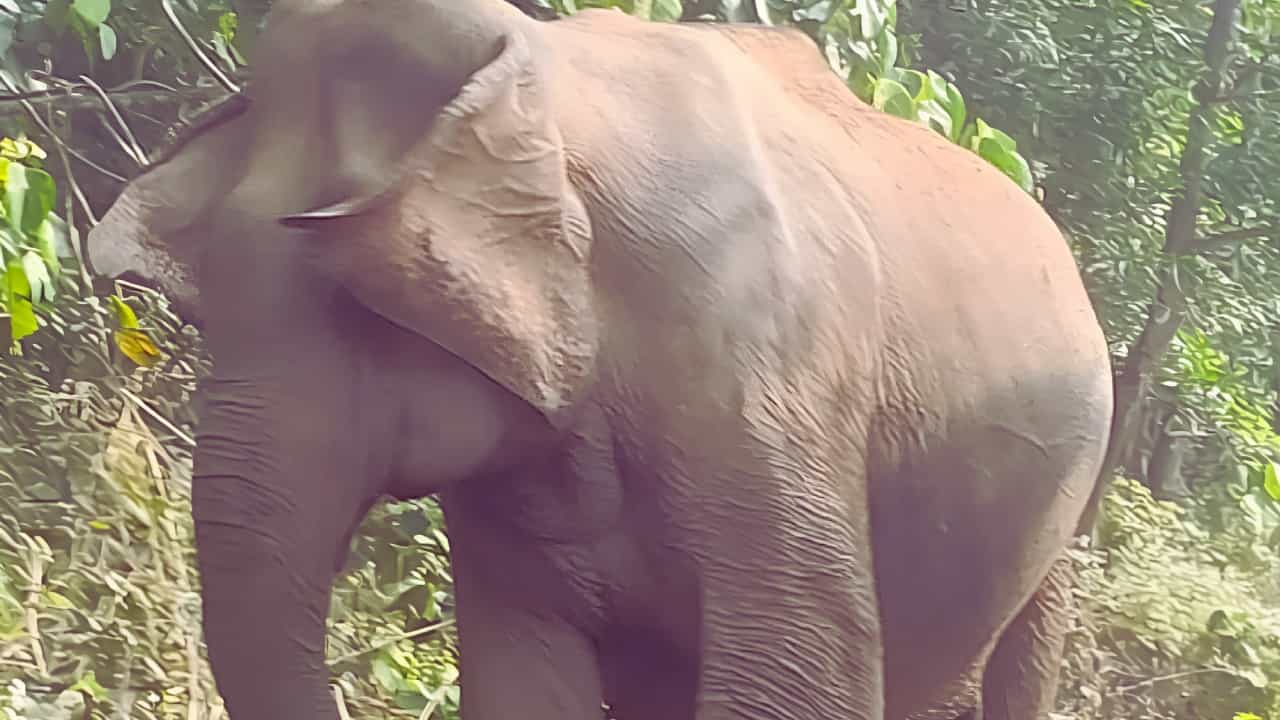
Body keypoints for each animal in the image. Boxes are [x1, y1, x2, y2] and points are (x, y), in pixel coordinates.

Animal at [84, 1, 1114, 719]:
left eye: (362, 304)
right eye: (206, 304)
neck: (541, 82)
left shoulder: (756, 369)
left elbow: (794, 668)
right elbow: (523, 678)